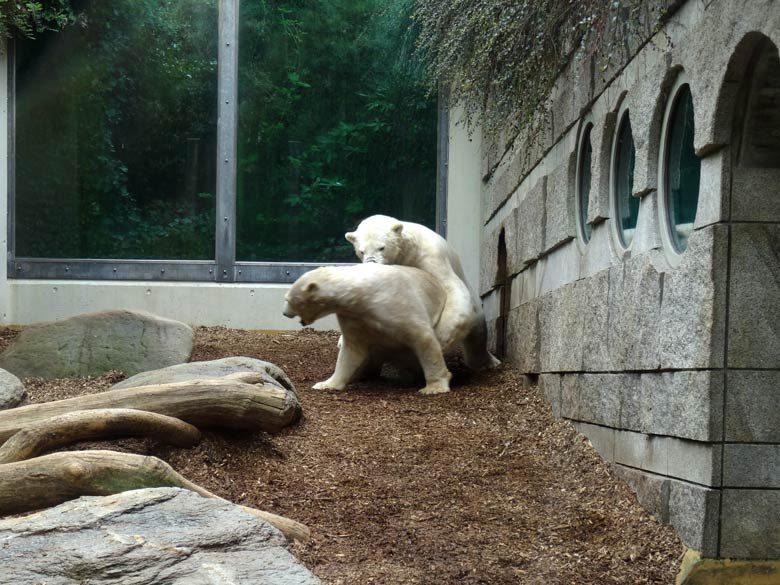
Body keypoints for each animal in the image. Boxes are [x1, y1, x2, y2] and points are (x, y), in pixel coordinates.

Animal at [282, 264, 450, 392]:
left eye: (288, 299)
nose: (284, 313)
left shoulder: (397, 303)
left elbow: (422, 337)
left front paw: (434, 387)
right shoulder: (353, 317)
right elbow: (351, 350)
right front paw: (325, 384)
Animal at [346, 214, 500, 370]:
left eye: (381, 248)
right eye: (361, 251)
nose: (371, 262)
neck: (407, 252)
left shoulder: (430, 257)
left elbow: (451, 287)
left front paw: (439, 338)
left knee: (478, 330)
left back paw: (488, 362)